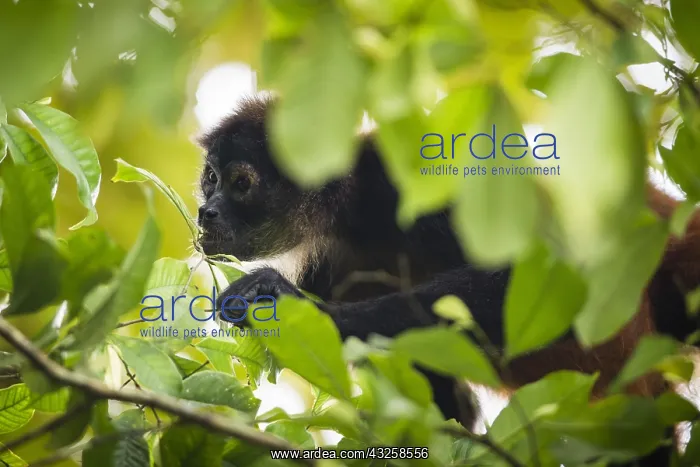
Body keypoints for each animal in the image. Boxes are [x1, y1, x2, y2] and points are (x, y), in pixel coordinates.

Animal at [195, 94, 699, 465]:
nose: (205, 211)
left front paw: (283, 299)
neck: (348, 216)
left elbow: (536, 276)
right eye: (211, 178)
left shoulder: (399, 182)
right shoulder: (332, 264)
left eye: (241, 184)